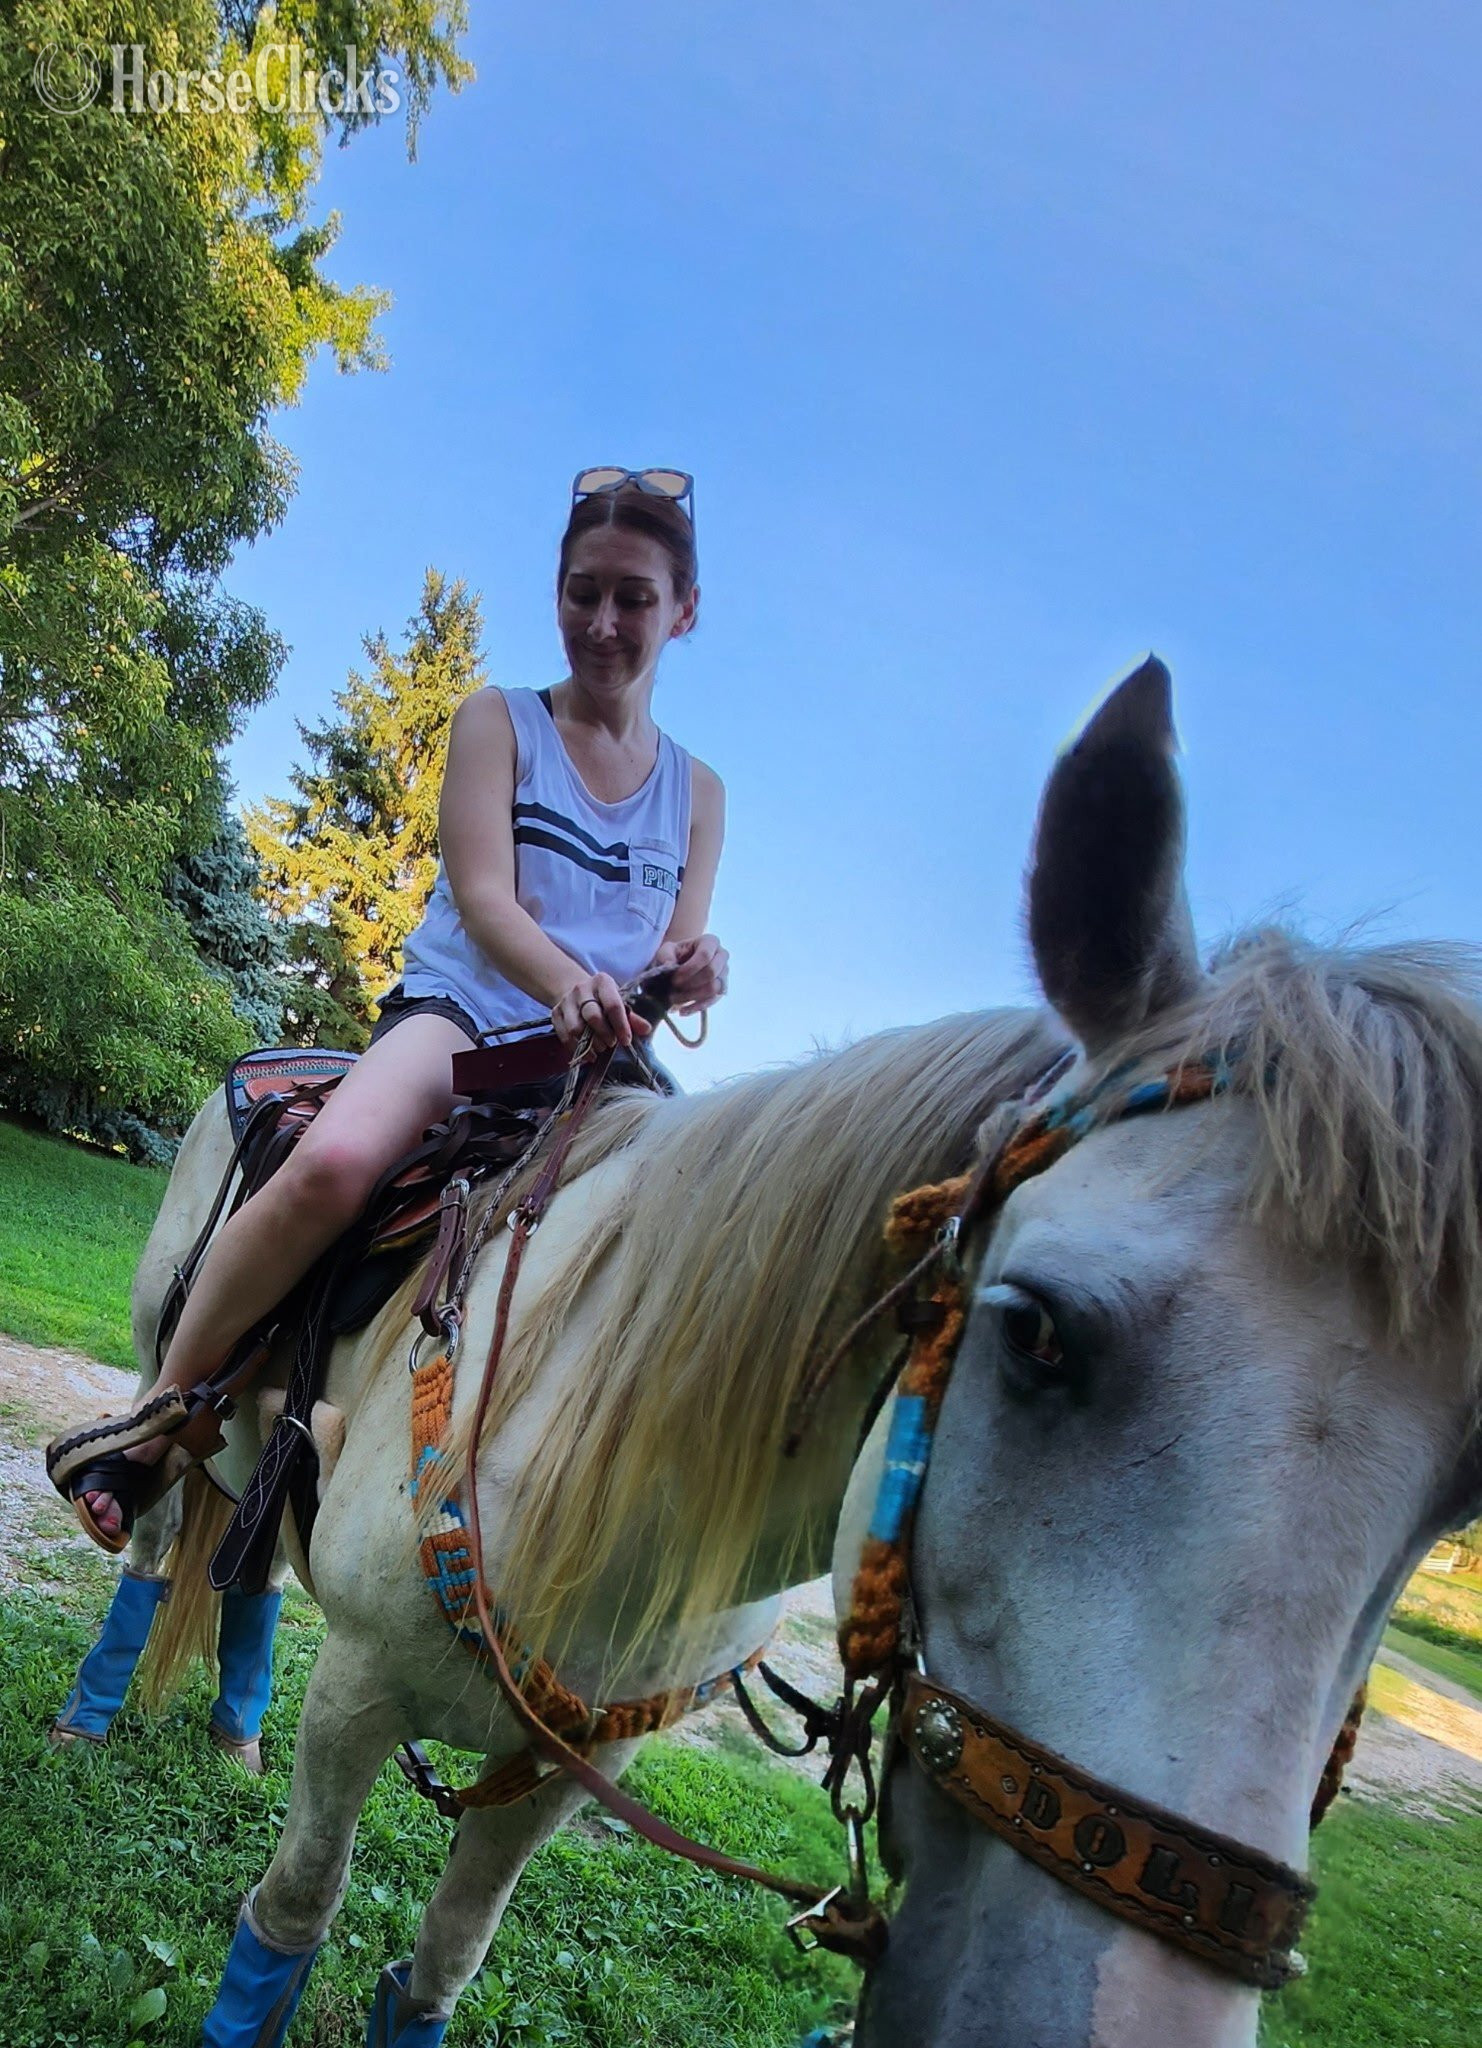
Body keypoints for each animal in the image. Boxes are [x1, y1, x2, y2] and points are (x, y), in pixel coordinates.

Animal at [135, 659, 1481, 2047]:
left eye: (1461, 1490)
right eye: (1036, 1330)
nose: (1125, 2019)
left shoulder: (568, 1768)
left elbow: (443, 1961)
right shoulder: (354, 1695)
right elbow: (292, 1911)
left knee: (250, 1567)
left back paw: (232, 1733)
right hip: (170, 1371)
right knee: (157, 1519)